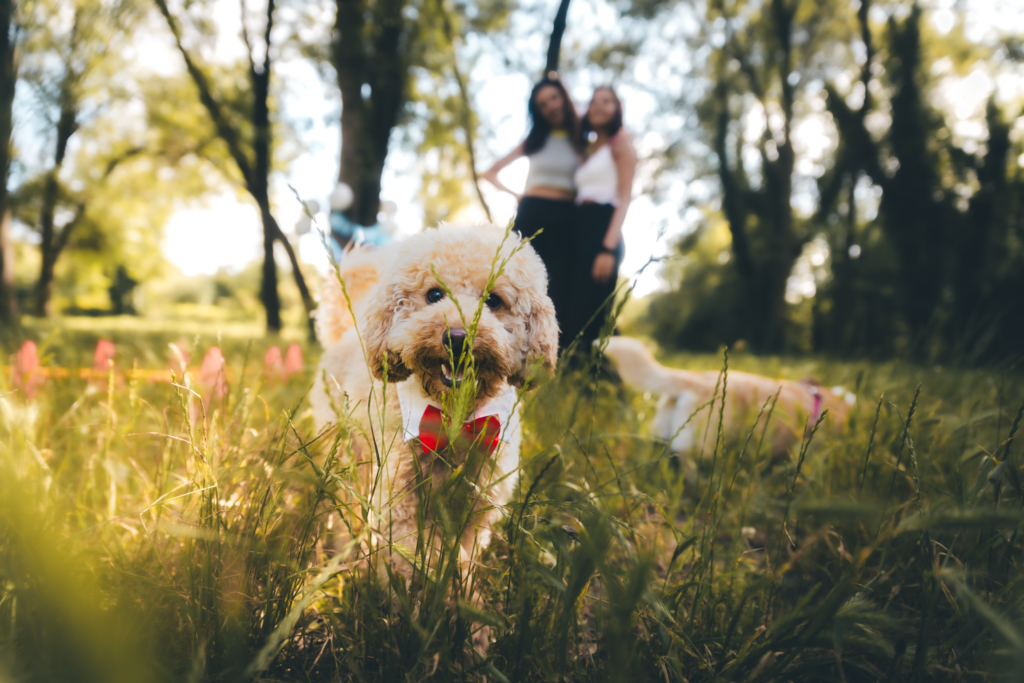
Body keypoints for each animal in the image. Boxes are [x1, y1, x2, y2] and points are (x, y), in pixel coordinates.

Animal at [309, 223, 557, 651]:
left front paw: (474, 629)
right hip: (345, 455)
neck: (455, 419)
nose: (457, 336)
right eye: (434, 295)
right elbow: (420, 567)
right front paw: (423, 622)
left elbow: (462, 565)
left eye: (495, 301)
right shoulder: (402, 507)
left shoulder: (475, 512)